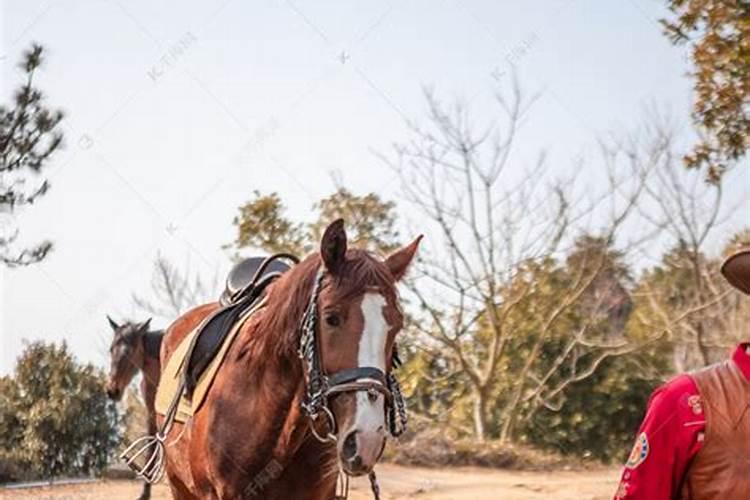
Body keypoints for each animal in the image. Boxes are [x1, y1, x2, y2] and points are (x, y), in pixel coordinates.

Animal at [106, 316, 163, 500]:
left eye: (129, 352)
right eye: (111, 349)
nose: (112, 390)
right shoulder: (152, 413)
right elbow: (151, 447)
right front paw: (144, 493)